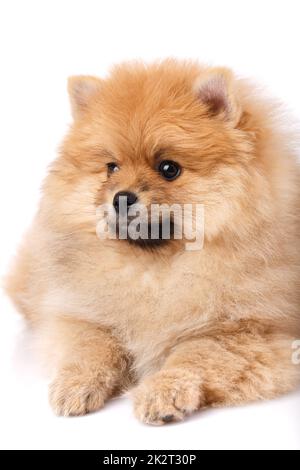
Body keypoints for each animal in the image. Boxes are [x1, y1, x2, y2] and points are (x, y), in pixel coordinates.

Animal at [5, 60, 300, 424]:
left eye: (168, 168)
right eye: (111, 168)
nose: (121, 197)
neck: (154, 270)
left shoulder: (248, 334)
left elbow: (194, 356)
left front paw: (163, 391)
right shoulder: (79, 315)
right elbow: (90, 346)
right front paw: (76, 384)